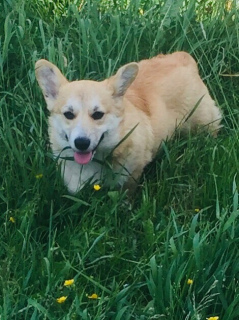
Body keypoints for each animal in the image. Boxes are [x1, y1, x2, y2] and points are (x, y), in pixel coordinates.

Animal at [34, 52, 221, 192]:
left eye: (98, 114)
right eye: (68, 114)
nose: (81, 143)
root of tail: (183, 57)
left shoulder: (131, 174)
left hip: (203, 123)